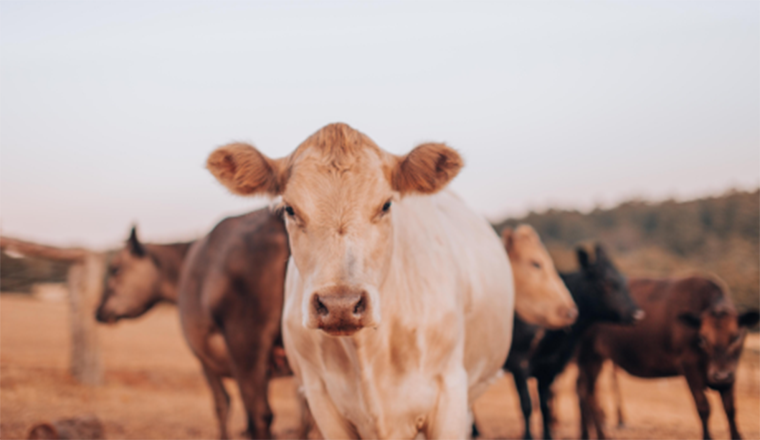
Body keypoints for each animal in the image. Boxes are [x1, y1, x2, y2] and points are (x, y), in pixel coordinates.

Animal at [576, 276, 760, 440]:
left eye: (736, 337)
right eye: (702, 339)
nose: (720, 375)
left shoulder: (731, 373)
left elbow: (730, 409)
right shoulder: (689, 368)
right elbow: (703, 407)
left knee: (582, 389)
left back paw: (585, 434)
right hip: (589, 356)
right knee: (588, 393)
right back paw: (601, 436)